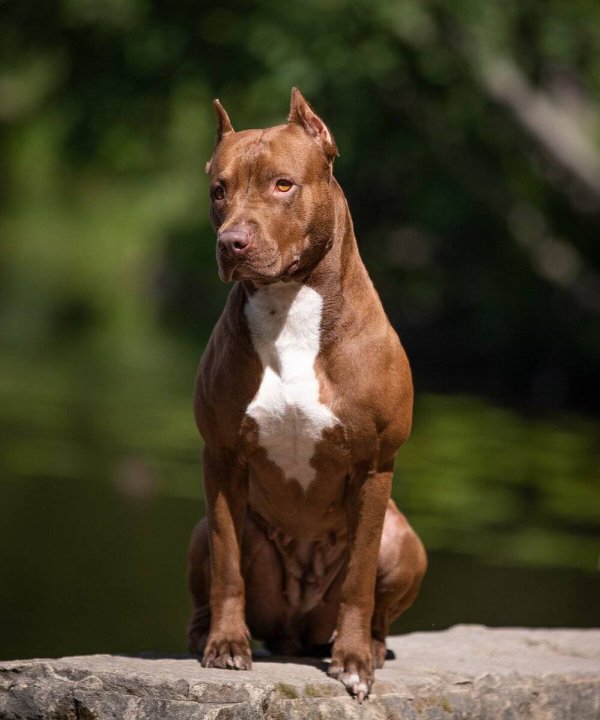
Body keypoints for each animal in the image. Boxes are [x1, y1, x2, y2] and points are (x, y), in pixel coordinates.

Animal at [188, 87, 426, 700]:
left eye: (283, 184)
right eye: (219, 190)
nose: (231, 243)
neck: (289, 305)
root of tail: (295, 632)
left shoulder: (374, 465)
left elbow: (360, 580)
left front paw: (353, 662)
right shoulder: (221, 457)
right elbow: (227, 564)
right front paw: (227, 646)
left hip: (404, 541)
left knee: (377, 601)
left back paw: (371, 646)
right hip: (204, 530)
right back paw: (204, 635)